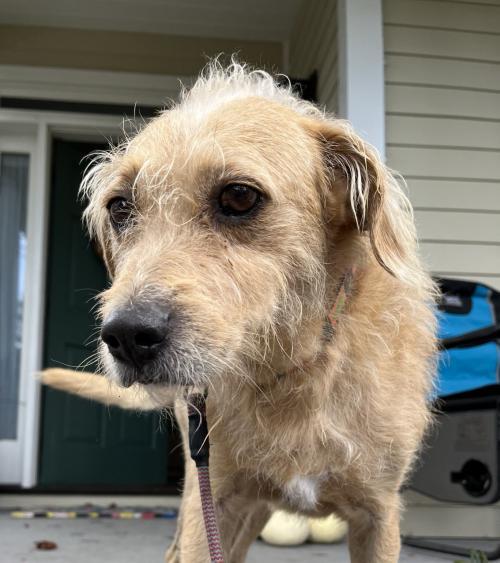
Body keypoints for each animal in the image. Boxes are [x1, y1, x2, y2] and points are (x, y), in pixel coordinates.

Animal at [41, 62, 437, 562]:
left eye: (239, 197)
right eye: (120, 207)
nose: (126, 337)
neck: (292, 368)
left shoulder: (378, 514)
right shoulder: (215, 502)